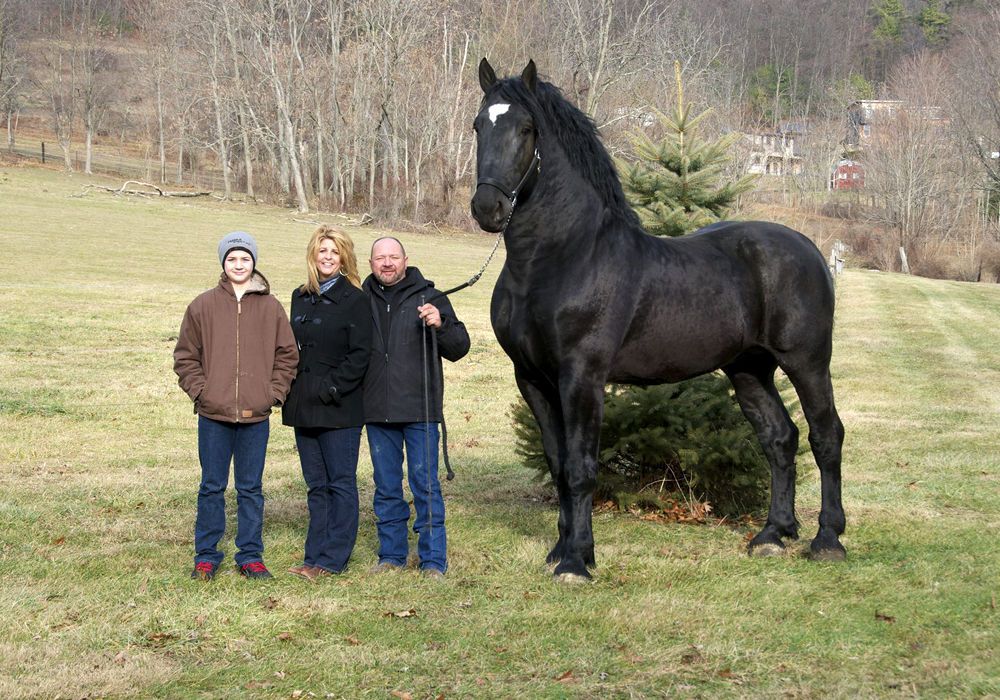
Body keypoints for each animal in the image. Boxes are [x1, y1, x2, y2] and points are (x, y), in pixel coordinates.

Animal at [470, 60, 844, 584]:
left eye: (526, 129)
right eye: (478, 126)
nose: (489, 209)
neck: (562, 257)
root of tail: (809, 248)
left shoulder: (582, 377)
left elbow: (582, 467)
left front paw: (577, 561)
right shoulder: (533, 379)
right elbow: (559, 464)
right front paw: (563, 548)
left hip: (807, 362)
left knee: (825, 436)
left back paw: (827, 539)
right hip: (749, 369)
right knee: (780, 439)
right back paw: (773, 535)